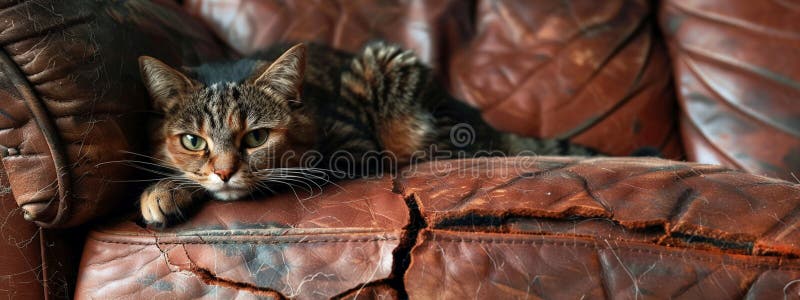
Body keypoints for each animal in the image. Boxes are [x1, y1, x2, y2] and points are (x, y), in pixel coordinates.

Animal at [139, 42, 600, 227]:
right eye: (193, 141)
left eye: (256, 138)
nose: (223, 173)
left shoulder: (350, 152)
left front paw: (165, 191)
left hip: (385, 73)